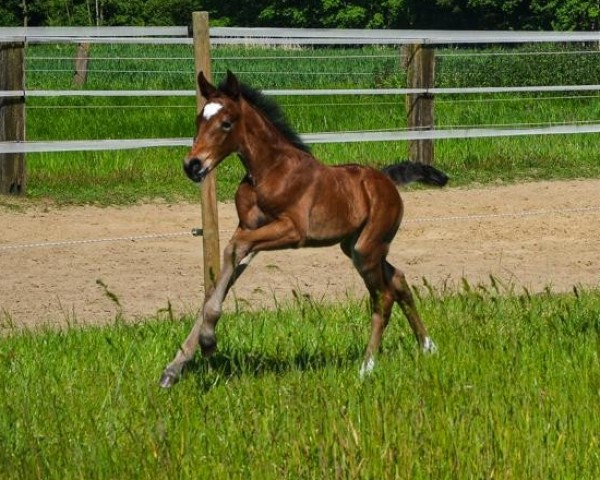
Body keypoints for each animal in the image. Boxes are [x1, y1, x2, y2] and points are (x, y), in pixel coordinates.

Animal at [157, 71, 448, 388]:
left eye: (226, 123)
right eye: (199, 119)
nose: (192, 165)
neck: (268, 172)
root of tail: (387, 179)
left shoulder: (292, 230)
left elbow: (234, 250)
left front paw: (208, 341)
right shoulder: (247, 228)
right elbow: (225, 273)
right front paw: (174, 368)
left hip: (367, 249)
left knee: (383, 297)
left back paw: (366, 367)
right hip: (357, 247)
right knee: (398, 280)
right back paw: (428, 346)